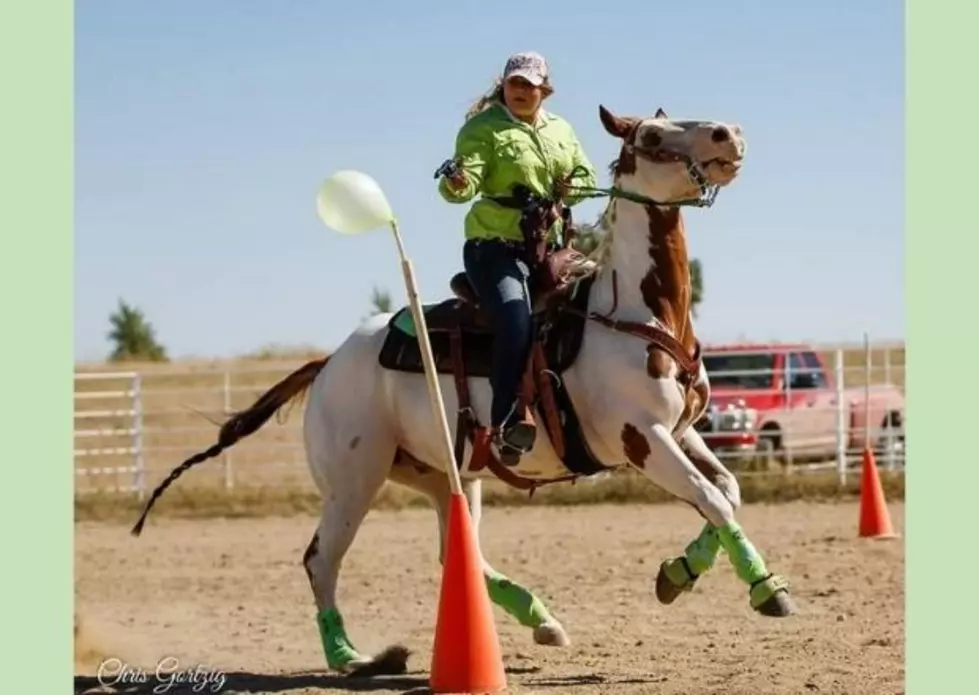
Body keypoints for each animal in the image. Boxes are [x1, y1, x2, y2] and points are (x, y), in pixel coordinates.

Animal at [128, 104, 796, 680]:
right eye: (653, 137)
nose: (729, 134)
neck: (633, 312)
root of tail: (330, 362)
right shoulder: (643, 439)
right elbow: (713, 502)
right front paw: (766, 590)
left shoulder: (683, 432)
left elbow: (728, 493)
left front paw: (676, 574)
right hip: (354, 481)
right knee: (322, 558)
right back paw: (351, 656)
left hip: (445, 475)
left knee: (457, 554)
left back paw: (542, 619)